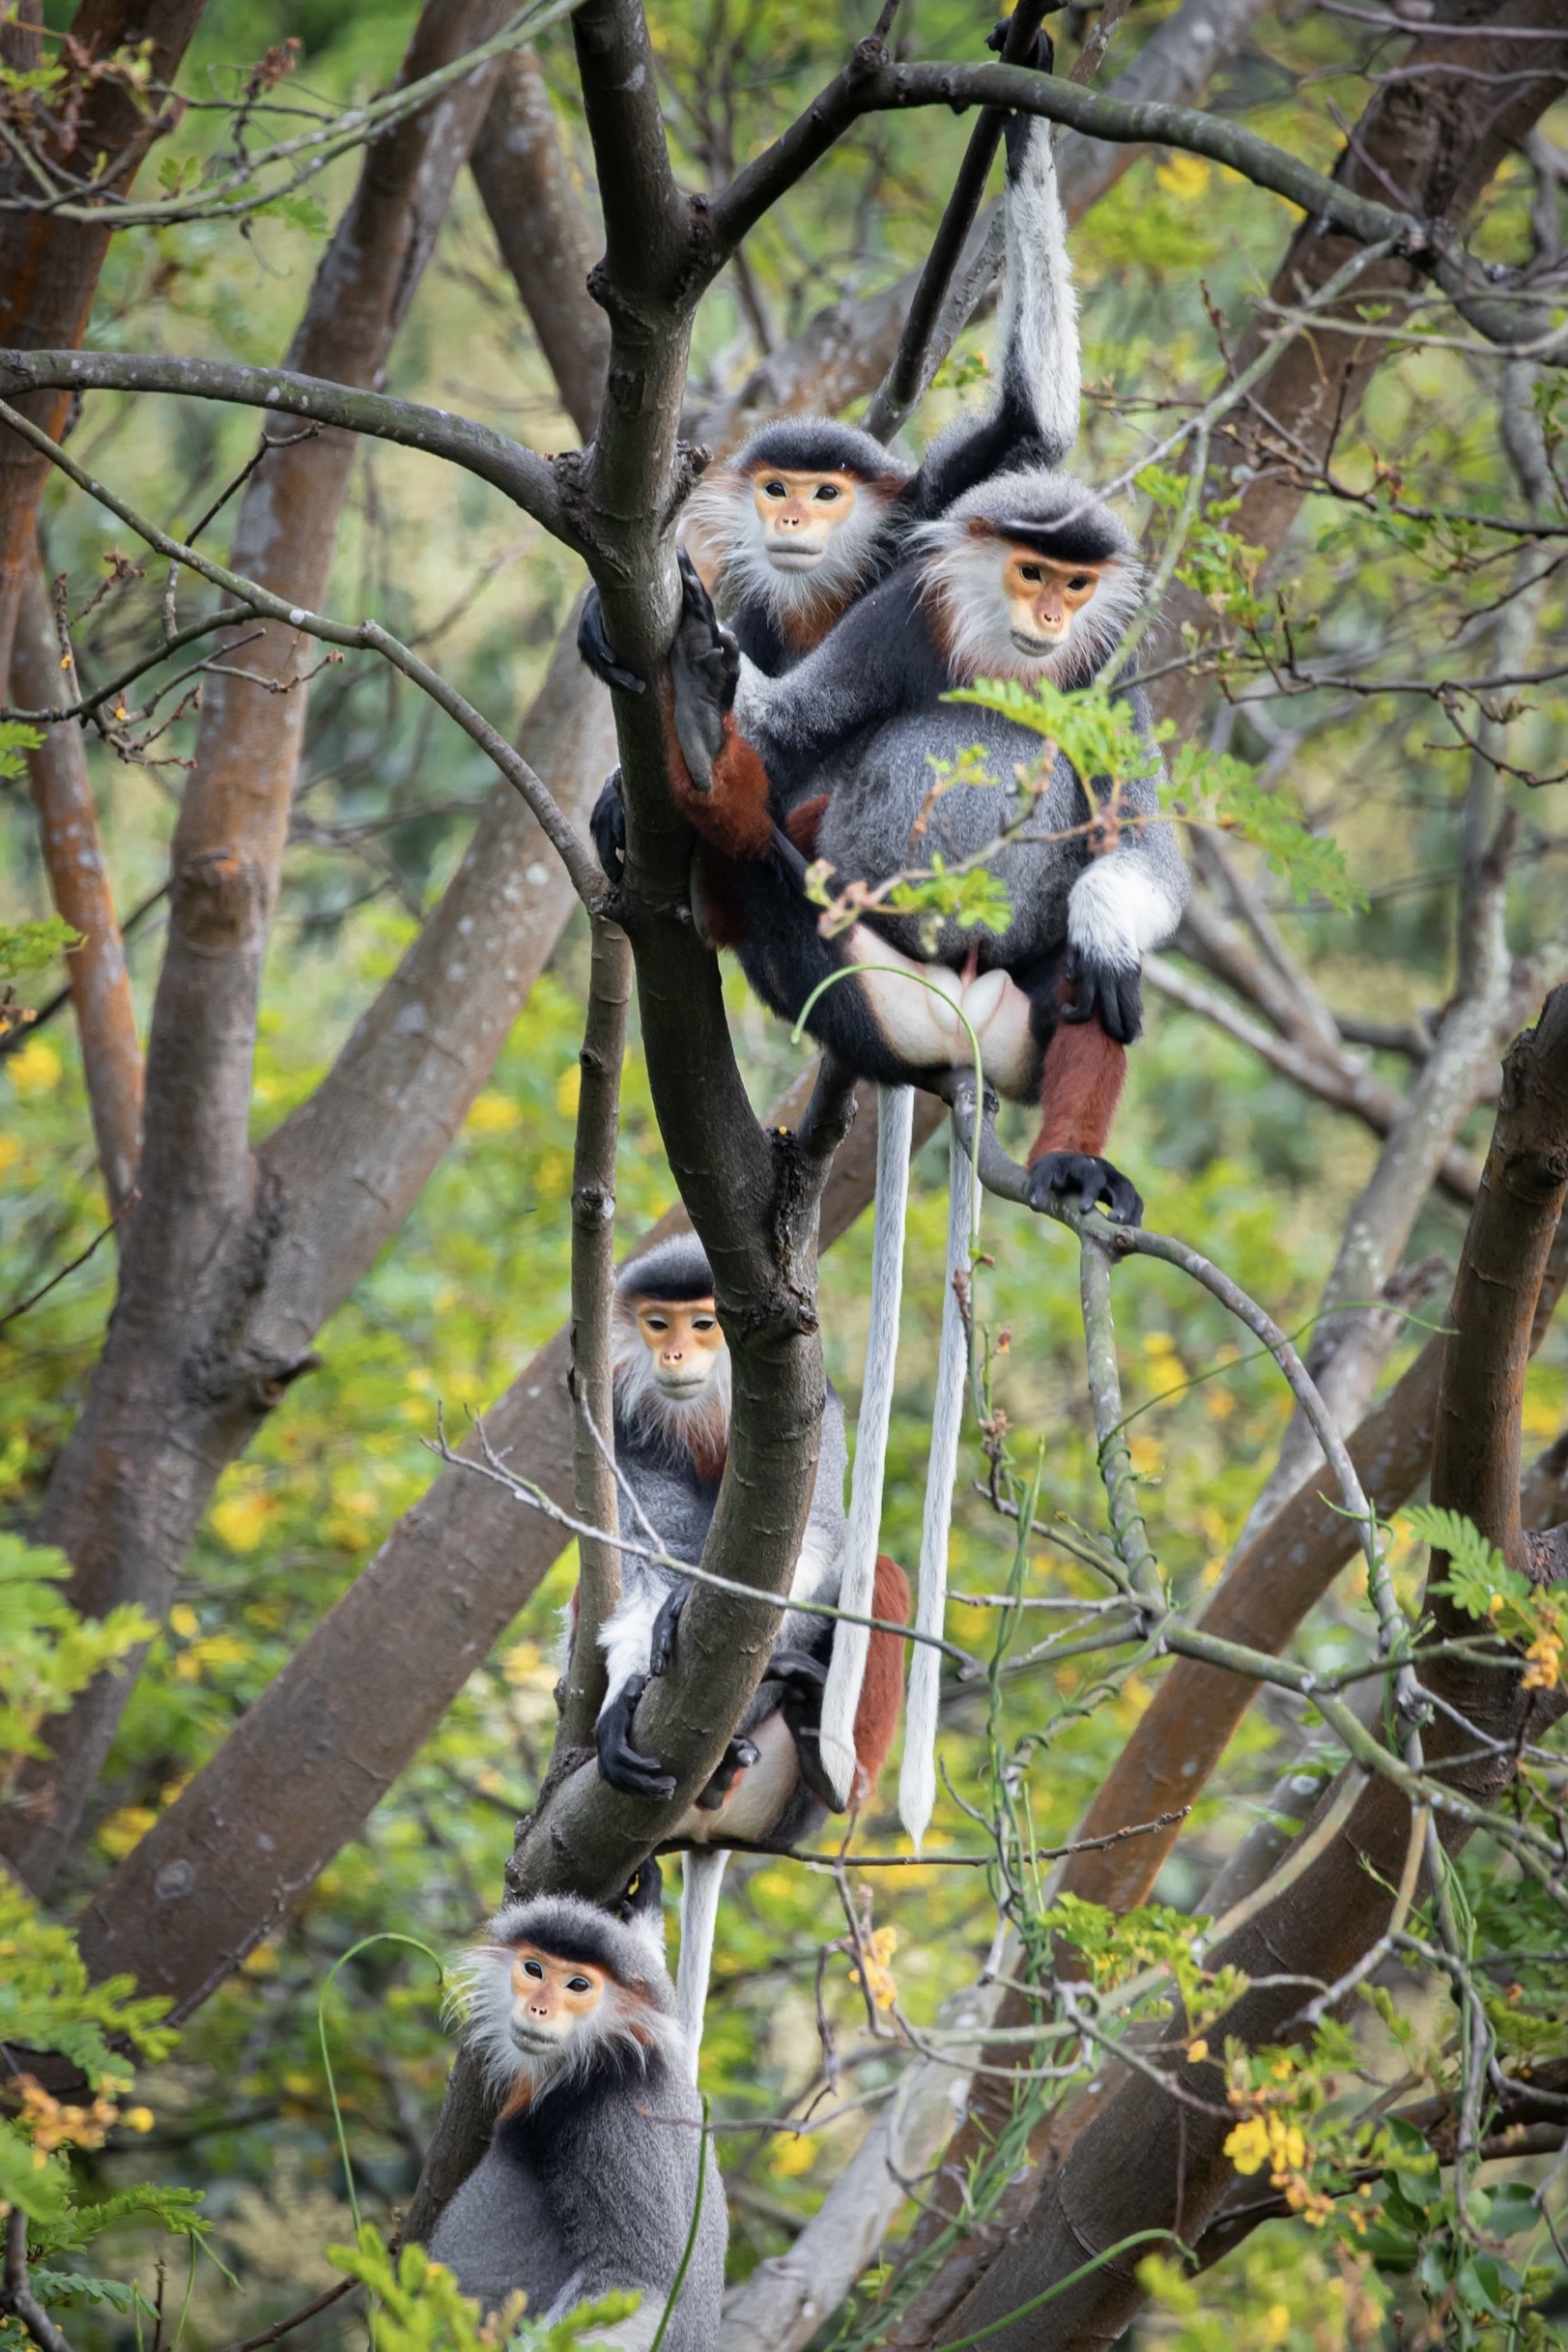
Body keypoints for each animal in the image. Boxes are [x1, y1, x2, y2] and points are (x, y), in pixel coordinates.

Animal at [425, 1862, 728, 2342]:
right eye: (533, 1970)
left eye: (578, 1985)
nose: (538, 2009)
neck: (598, 2058)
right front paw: (645, 1908)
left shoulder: (616, 2119)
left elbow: (639, 2282)